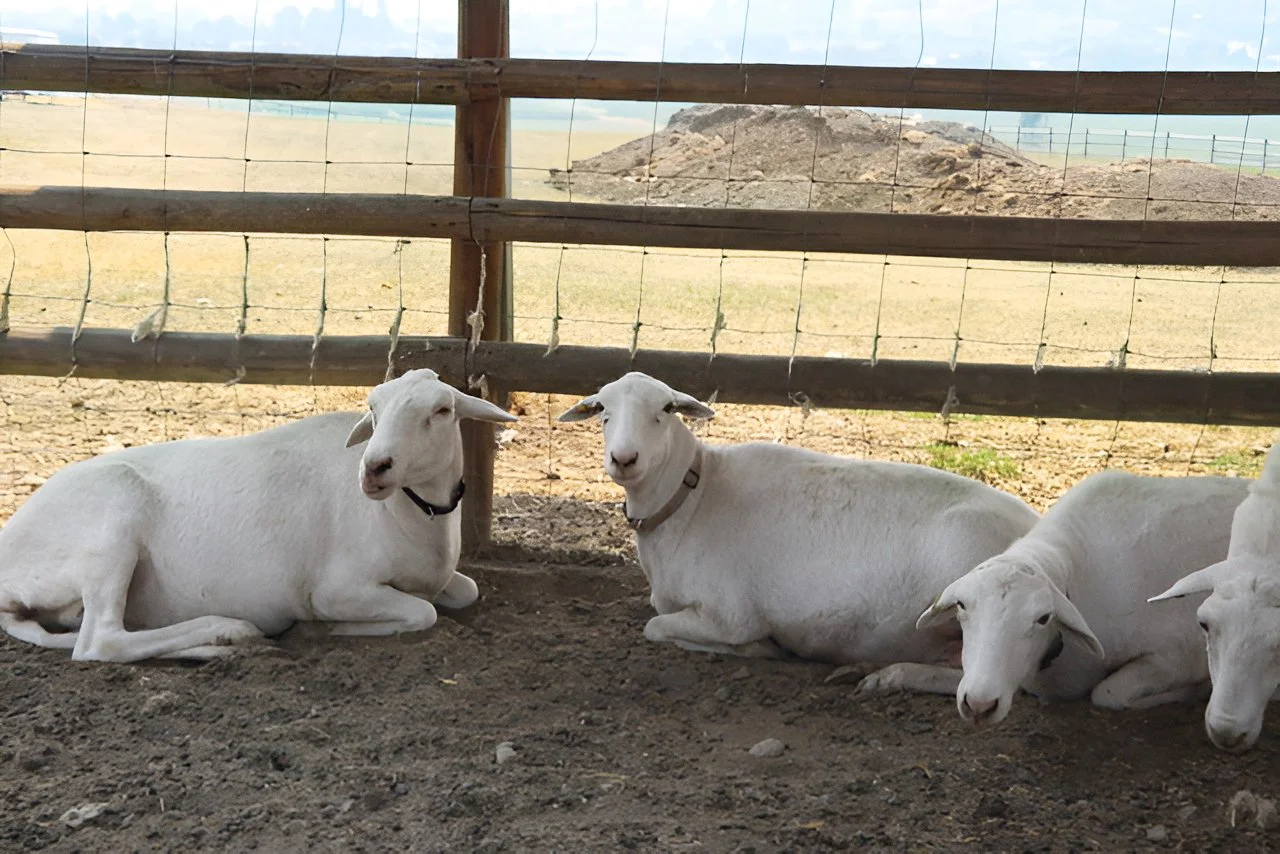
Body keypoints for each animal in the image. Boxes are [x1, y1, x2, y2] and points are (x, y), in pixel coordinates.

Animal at [0, 368, 516, 663]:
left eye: (442, 410)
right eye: (374, 407)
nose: (374, 468)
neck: (410, 518)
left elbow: (465, 591)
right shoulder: (337, 588)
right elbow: (423, 612)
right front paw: (323, 629)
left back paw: (217, 646)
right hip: (111, 525)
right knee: (99, 643)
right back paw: (229, 629)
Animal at [556, 371, 1039, 686]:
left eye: (666, 409)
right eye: (601, 410)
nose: (624, 458)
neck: (694, 497)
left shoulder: (730, 616)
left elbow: (656, 628)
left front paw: (763, 649)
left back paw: (889, 675)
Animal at [915, 470, 1250, 726]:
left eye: (1043, 618)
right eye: (962, 606)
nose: (979, 705)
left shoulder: (1177, 655)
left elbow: (1108, 694)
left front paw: (1191, 692)